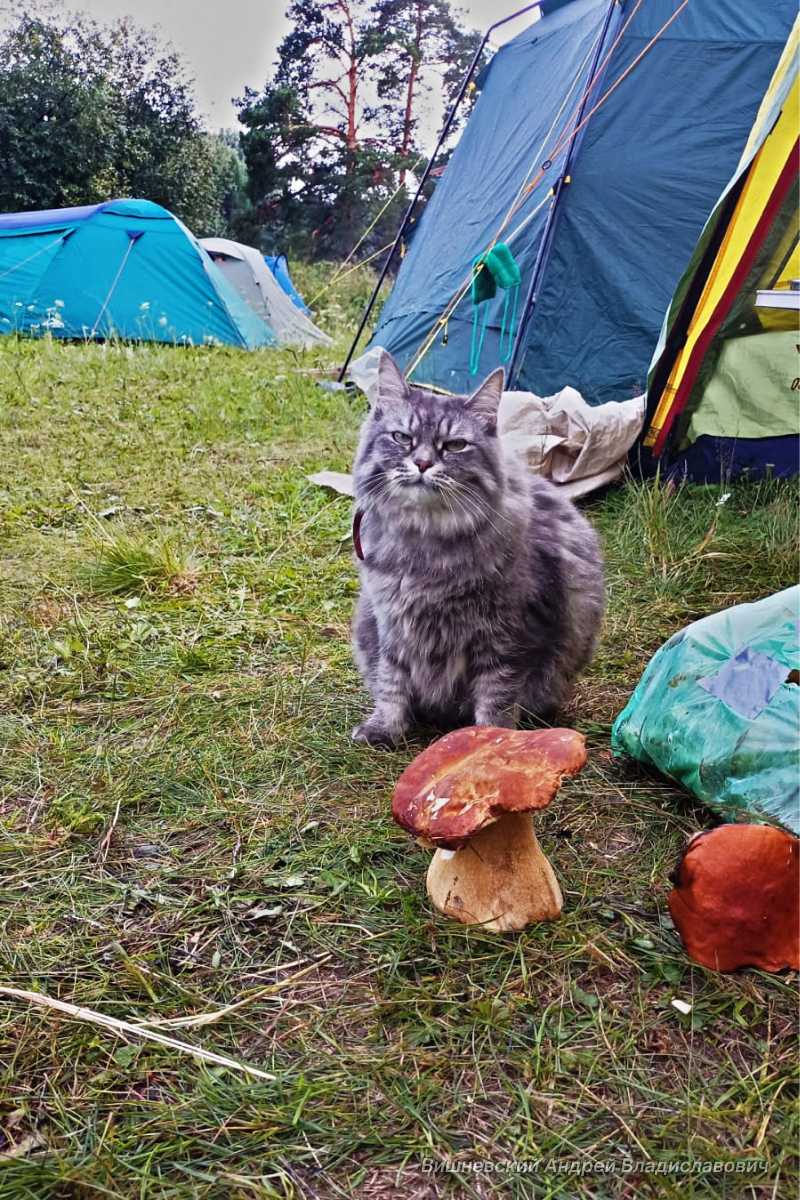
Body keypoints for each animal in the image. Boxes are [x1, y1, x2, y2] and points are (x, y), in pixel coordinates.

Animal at [347, 350, 604, 744]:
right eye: (402, 438)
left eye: (455, 445)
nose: (422, 463)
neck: (424, 548)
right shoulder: (391, 624)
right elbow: (392, 681)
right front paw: (385, 728)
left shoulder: (508, 637)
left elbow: (496, 696)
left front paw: (490, 742)